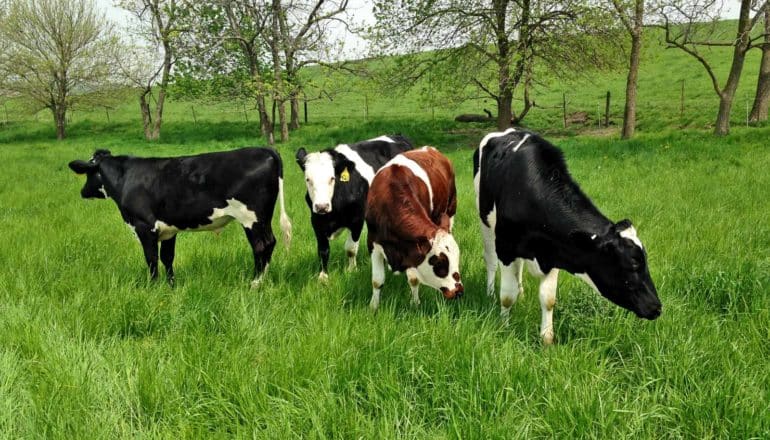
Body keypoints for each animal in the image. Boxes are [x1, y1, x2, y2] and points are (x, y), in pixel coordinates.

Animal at [68, 146, 292, 288]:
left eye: (88, 173)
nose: (82, 192)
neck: (126, 178)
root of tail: (265, 149)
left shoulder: (144, 226)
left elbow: (151, 258)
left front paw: (152, 286)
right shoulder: (168, 230)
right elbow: (167, 258)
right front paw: (171, 285)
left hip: (251, 218)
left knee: (261, 246)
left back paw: (255, 283)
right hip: (263, 218)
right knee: (270, 243)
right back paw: (263, 280)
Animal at [296, 134, 414, 284]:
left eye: (332, 178)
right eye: (308, 179)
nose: (322, 206)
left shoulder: (357, 219)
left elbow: (351, 248)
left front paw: (351, 270)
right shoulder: (316, 221)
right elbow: (323, 250)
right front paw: (323, 277)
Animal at [362, 148, 460, 310]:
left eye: (457, 258)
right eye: (439, 262)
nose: (459, 291)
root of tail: (429, 148)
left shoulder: (412, 248)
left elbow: (414, 279)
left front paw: (415, 303)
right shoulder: (373, 241)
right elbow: (377, 280)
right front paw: (373, 306)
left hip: (450, 210)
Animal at [472, 127, 664, 344]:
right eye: (632, 264)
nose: (657, 307)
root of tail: (507, 130)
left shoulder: (554, 252)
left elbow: (548, 299)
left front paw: (547, 339)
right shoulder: (506, 247)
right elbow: (506, 296)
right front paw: (504, 326)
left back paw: (521, 292)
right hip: (485, 220)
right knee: (490, 260)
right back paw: (489, 292)